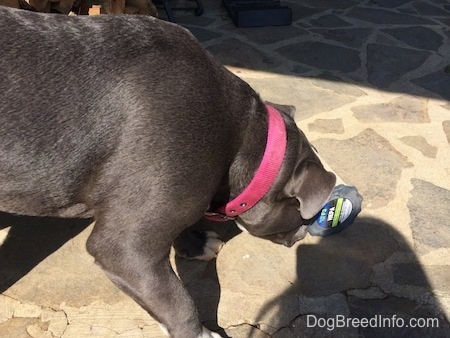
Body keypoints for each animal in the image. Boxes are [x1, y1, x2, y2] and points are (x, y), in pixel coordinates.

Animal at [0, 5, 338, 338]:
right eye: (302, 213)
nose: (308, 231)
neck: (242, 138)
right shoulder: (125, 249)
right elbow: (178, 303)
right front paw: (202, 333)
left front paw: (196, 242)